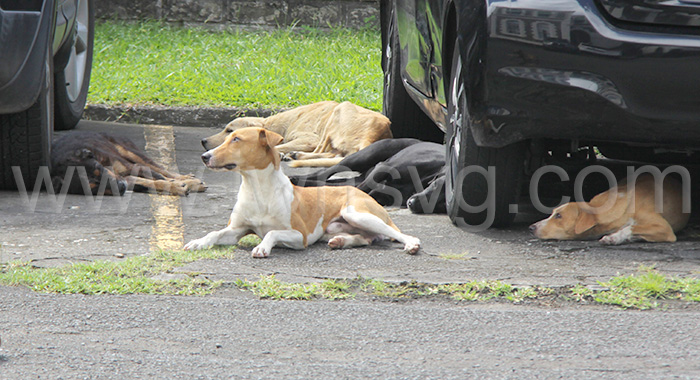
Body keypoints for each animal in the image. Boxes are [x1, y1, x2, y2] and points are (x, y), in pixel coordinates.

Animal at [51, 131, 206, 196]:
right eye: (92, 187)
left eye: (99, 169)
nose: (120, 187)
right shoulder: (128, 179)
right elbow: (153, 183)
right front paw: (177, 187)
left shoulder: (136, 167)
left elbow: (160, 177)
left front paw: (181, 184)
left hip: (131, 152)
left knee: (163, 170)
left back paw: (190, 180)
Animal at [201, 101, 394, 166]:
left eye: (230, 131)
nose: (203, 141)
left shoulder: (310, 139)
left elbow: (279, 145)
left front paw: (281, 152)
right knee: (333, 154)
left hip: (340, 109)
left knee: (323, 152)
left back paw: (295, 155)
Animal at [290, 138, 448, 214]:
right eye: (434, 185)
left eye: (442, 205)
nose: (412, 204)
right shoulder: (383, 168)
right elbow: (365, 188)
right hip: (362, 157)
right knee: (324, 173)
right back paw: (296, 179)